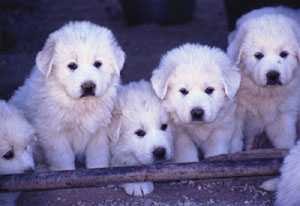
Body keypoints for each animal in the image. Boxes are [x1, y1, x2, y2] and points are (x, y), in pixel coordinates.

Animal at [9, 20, 124, 171]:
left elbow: (98, 157)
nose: (88, 86)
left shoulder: (101, 131)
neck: (81, 105)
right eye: (72, 65)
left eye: (98, 63)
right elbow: (63, 158)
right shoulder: (54, 133)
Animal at [227, 12, 300, 150]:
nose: (273, 75)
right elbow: (234, 142)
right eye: (258, 55)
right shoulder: (236, 115)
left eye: (284, 54)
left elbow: (284, 142)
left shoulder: (283, 117)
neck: (264, 93)